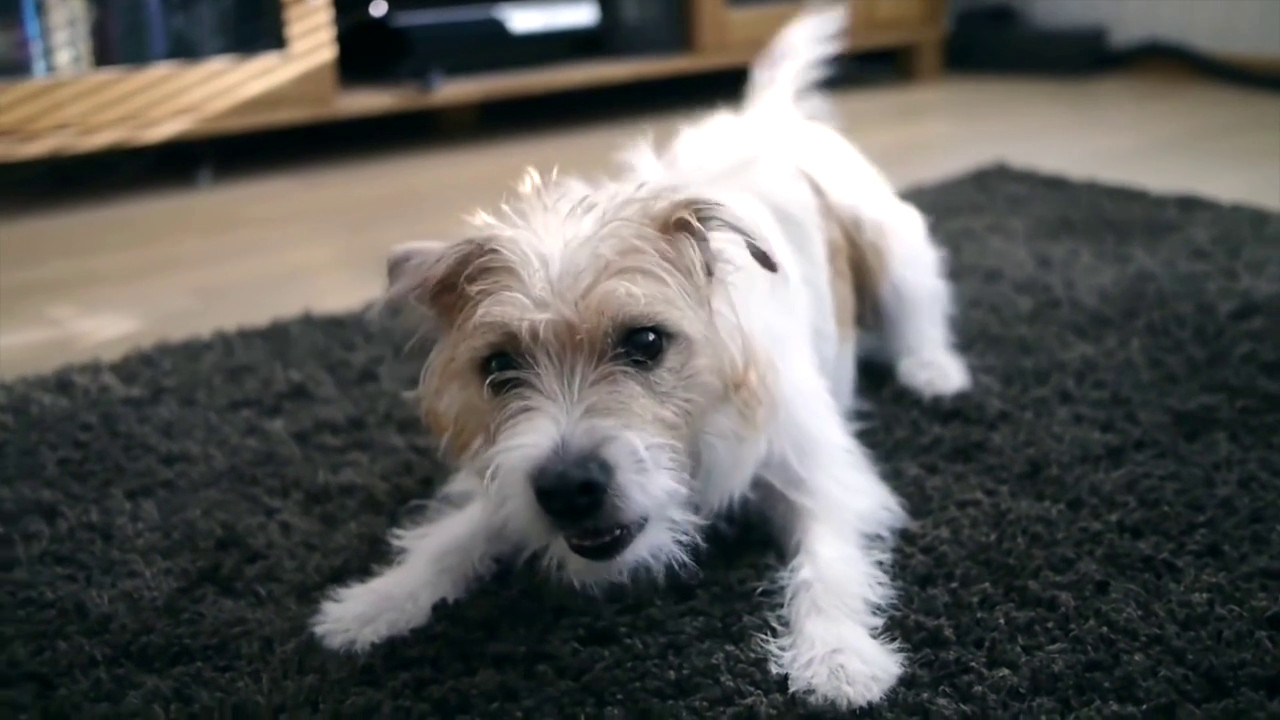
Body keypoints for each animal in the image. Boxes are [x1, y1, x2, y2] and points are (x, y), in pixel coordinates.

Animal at [311, 2, 971, 709]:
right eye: (499, 366)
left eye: (646, 342)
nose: (568, 489)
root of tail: (768, 113)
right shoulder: (509, 471)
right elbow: (459, 531)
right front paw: (378, 601)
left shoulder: (823, 473)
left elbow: (831, 561)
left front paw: (837, 656)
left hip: (895, 246)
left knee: (921, 310)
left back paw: (934, 371)